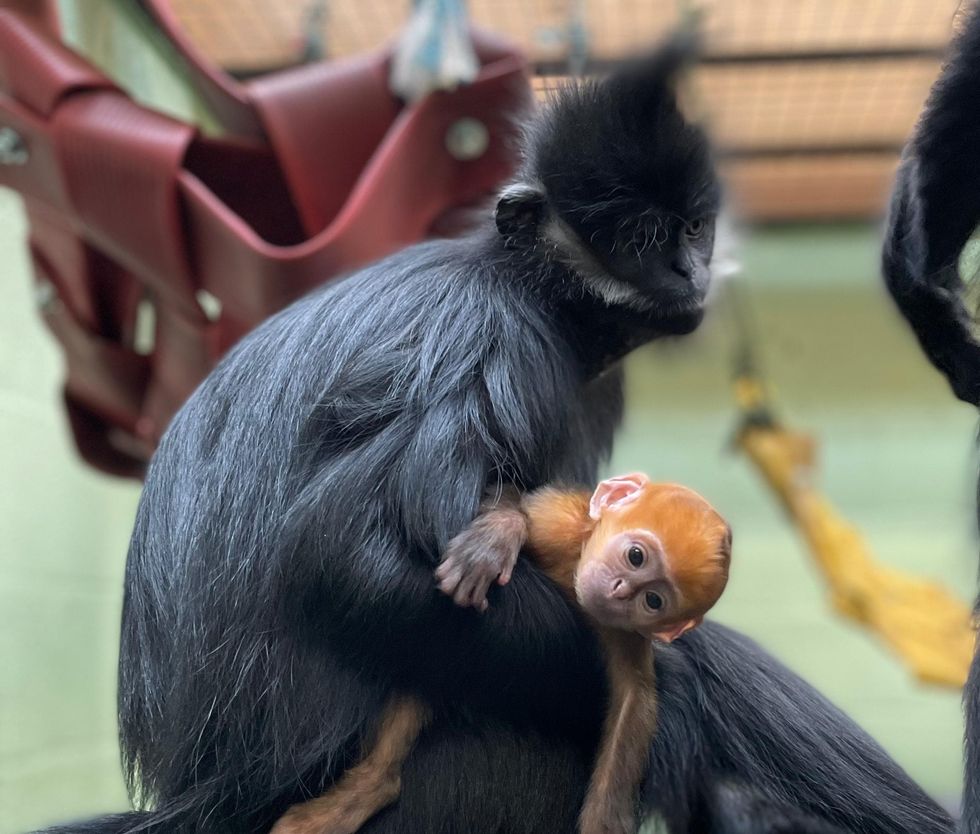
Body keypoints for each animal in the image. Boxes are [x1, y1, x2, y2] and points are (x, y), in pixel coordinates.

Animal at [272, 472, 732, 832]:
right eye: (636, 556)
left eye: (653, 600)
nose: (621, 591)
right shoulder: (558, 522)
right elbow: (508, 498)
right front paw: (497, 536)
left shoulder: (624, 634)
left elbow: (632, 709)